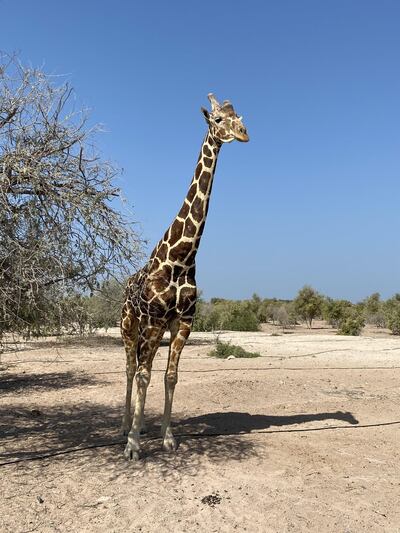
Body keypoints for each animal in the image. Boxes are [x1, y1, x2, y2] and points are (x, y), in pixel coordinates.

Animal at [120, 91, 248, 458]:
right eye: (218, 120)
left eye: (240, 116)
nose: (244, 133)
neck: (183, 256)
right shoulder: (153, 321)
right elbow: (145, 375)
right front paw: (133, 445)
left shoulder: (183, 322)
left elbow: (170, 376)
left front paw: (167, 438)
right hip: (129, 324)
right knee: (131, 368)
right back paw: (124, 428)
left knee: (142, 368)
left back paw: (140, 425)